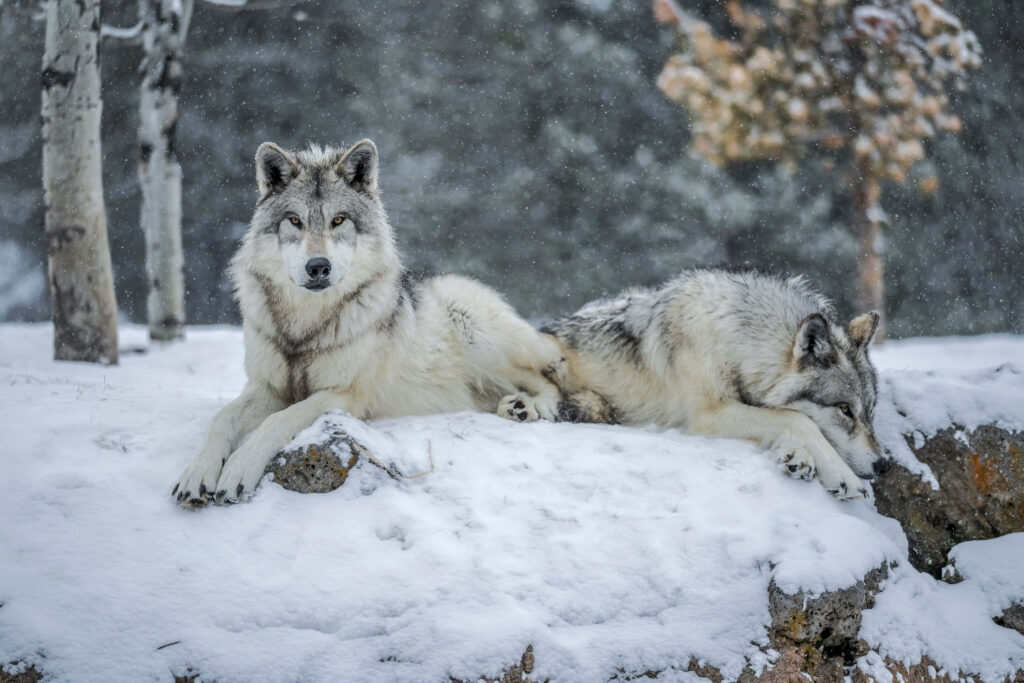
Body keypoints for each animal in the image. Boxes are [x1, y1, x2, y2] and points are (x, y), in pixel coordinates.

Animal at [174, 140, 564, 506]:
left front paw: (238, 469)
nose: (318, 267)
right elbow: (221, 418)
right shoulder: (267, 388)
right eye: (295, 221)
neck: (304, 327)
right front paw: (197, 474)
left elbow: (278, 420)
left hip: (475, 330)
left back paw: (529, 406)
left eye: (339, 220)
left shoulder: (344, 395)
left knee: (553, 376)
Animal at [544, 269, 886, 499]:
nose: (883, 466)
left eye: (870, 412)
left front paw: (797, 457)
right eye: (844, 409)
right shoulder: (710, 414)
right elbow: (798, 419)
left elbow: (789, 420)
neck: (736, 340)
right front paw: (843, 477)